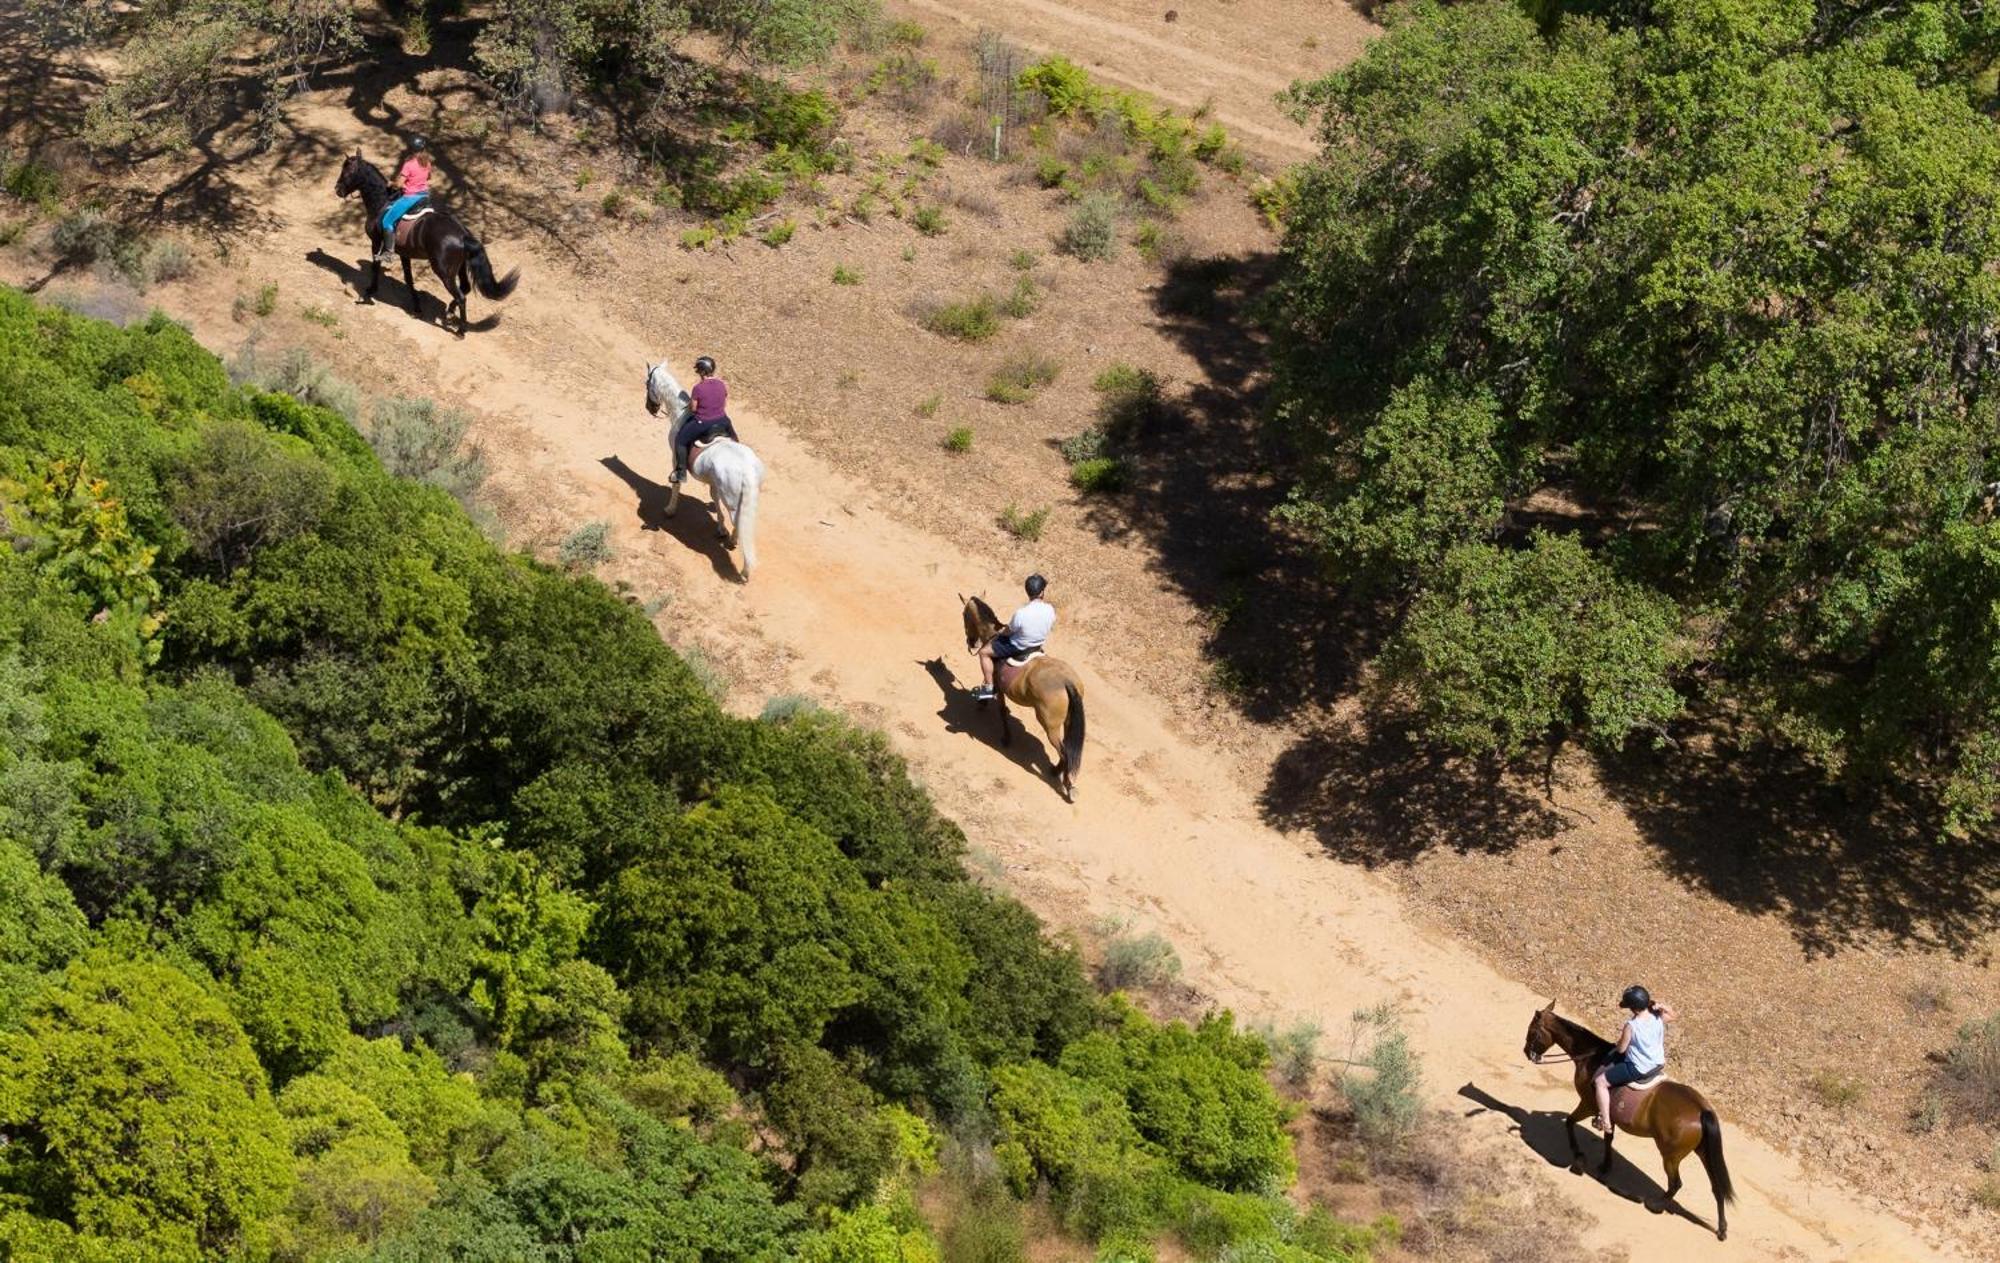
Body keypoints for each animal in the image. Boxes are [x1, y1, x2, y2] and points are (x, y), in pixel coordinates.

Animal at [332, 151, 516, 335]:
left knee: (461, 296)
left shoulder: (376, 243)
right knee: (465, 288)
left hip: (444, 272)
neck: (382, 202)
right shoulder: (404, 253)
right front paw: (417, 306)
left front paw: (371, 290)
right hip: (460, 268)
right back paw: (450, 312)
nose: (337, 190)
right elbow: (409, 279)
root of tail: (463, 235)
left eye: (347, 172)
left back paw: (460, 330)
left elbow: (375, 267)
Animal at [648, 361, 764, 583]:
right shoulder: (713, 482)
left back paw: (743, 568)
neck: (681, 413)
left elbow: (676, 485)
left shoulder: (675, 458)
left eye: (647, 383)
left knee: (740, 525)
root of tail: (746, 470)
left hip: (734, 502)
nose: (651, 409)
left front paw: (670, 510)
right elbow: (715, 499)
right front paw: (720, 528)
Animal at [960, 595, 1088, 803]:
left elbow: (1001, 710)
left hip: (1050, 726)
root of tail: (1066, 681)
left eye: (964, 615)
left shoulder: (998, 685)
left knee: (1064, 753)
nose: (971, 642)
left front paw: (1005, 736)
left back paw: (1062, 779)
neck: (992, 634)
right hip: (1067, 722)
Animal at [1520, 1003, 1728, 1239]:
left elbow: (1570, 1123)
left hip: (1671, 1156)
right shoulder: (1607, 1115)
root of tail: (1701, 1109)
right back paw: (1721, 1229)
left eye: (1533, 1031)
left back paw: (1656, 1205)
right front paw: (1605, 1165)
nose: (1527, 1052)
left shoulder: (1588, 1104)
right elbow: (1608, 1138)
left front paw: (1579, 1157)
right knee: (1717, 1188)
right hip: (1703, 1153)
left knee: (1676, 1183)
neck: (1594, 1057)